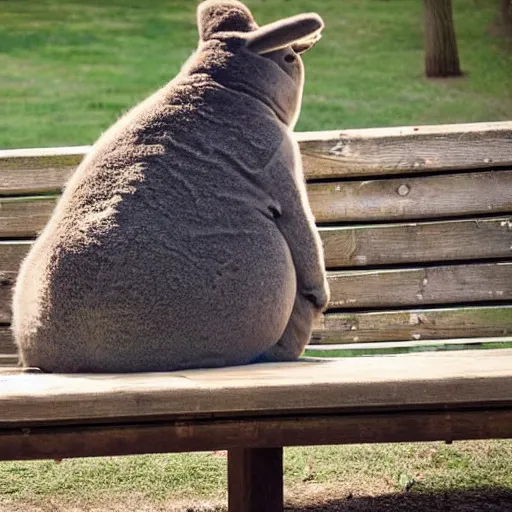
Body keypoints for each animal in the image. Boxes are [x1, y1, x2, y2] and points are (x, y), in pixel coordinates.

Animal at [13, 0, 332, 372]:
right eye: (289, 58)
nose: (303, 50)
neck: (224, 84)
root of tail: (43, 360)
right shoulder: (279, 158)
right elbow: (305, 243)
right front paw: (319, 296)